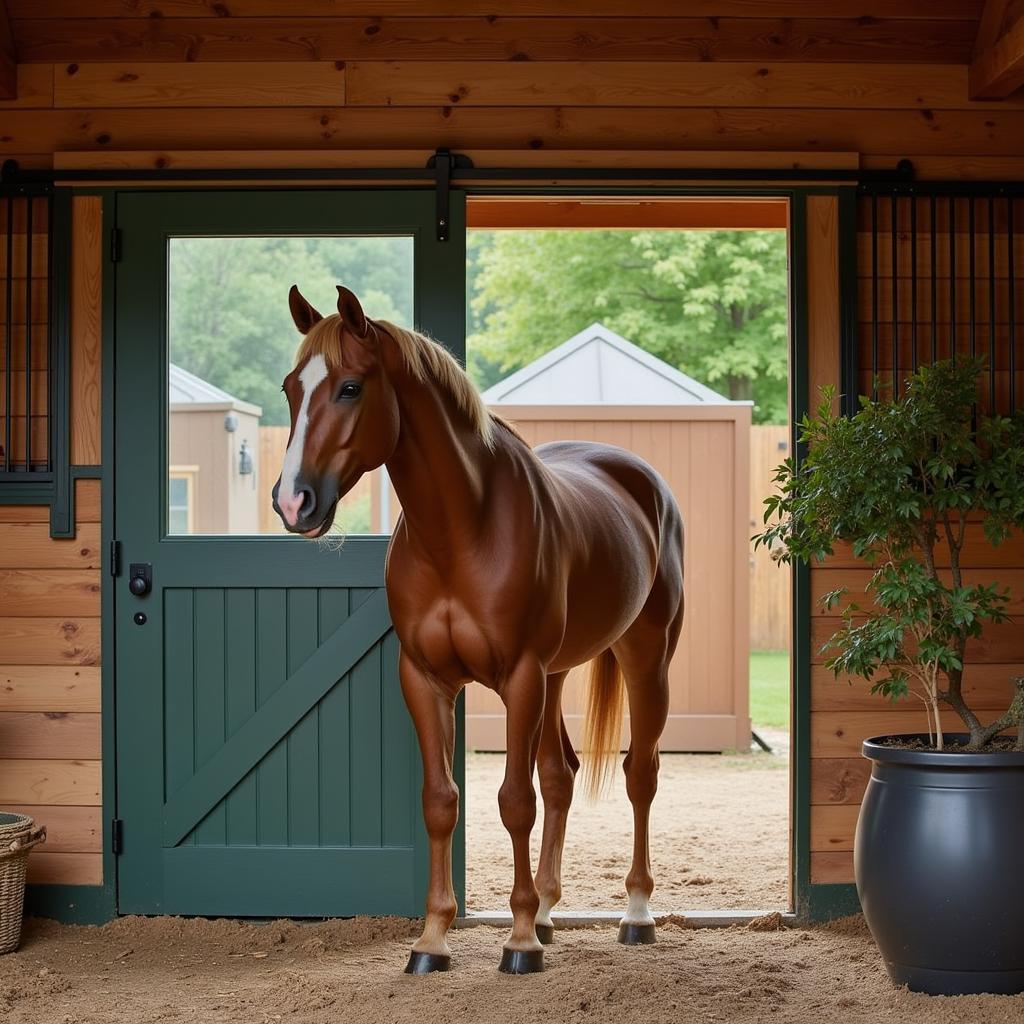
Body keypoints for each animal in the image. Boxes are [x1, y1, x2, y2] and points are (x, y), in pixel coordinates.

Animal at [276, 284, 684, 970]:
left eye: (351, 387)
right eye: (289, 389)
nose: (292, 501)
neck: (461, 532)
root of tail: (643, 480)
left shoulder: (518, 676)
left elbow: (515, 802)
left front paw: (517, 943)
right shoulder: (426, 678)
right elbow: (442, 803)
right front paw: (434, 940)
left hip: (644, 657)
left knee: (640, 775)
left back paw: (633, 913)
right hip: (556, 675)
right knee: (562, 775)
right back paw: (546, 911)